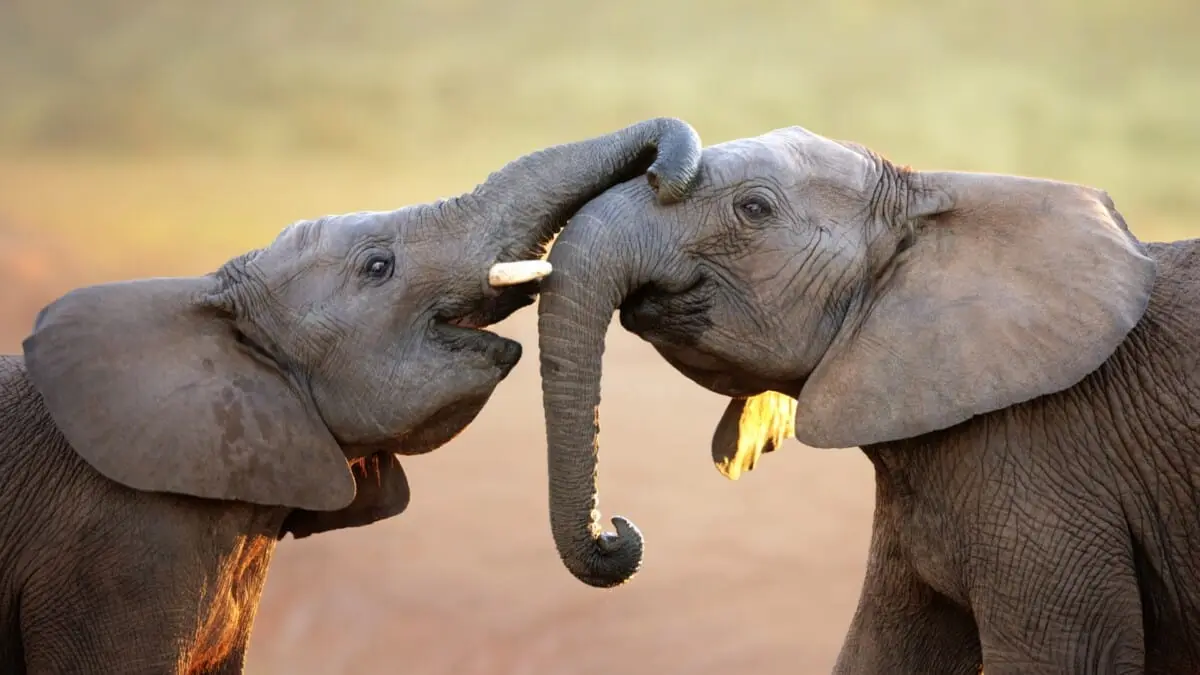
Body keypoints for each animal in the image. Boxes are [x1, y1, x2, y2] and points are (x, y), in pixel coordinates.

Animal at [535, 124, 1200, 674]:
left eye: (754, 208)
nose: (617, 531)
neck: (931, 200)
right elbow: (881, 650)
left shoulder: (1044, 460)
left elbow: (1067, 656)